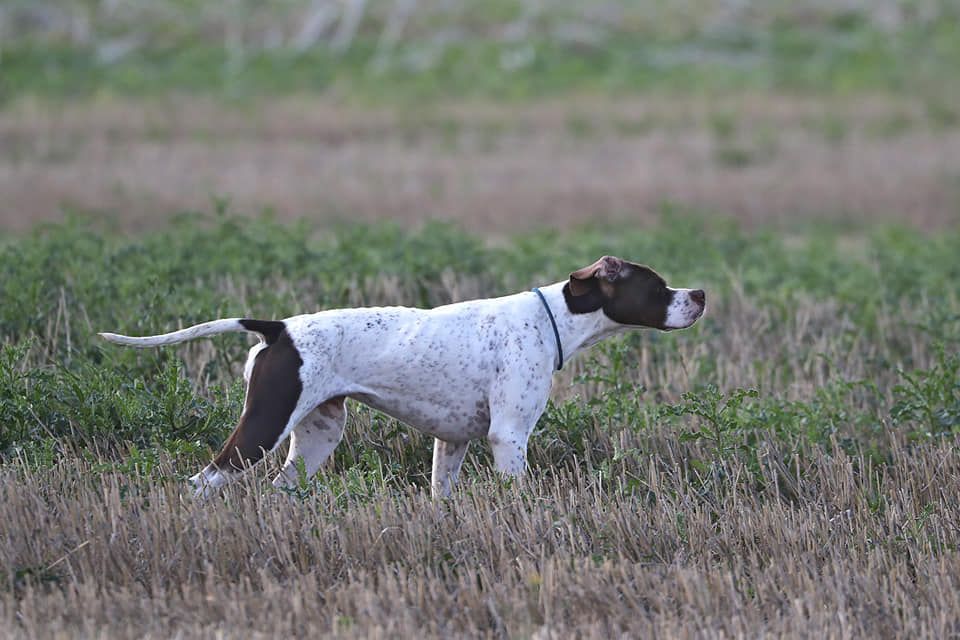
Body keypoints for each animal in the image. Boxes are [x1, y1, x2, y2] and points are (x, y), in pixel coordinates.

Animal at [99, 256, 704, 500]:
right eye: (658, 286)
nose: (699, 294)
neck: (549, 318)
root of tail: (280, 329)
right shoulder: (508, 438)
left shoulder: (453, 442)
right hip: (263, 428)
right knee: (202, 482)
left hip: (318, 436)